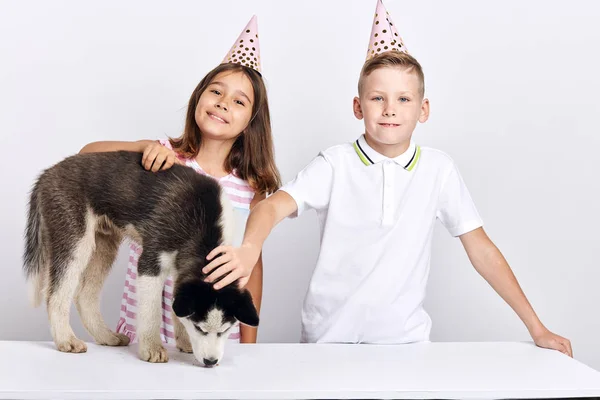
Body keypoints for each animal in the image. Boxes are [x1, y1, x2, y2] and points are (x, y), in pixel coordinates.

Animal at [24, 150, 258, 366]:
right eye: (200, 328)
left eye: (225, 330)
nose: (211, 362)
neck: (204, 225)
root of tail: (46, 174)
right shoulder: (151, 263)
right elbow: (151, 311)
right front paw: (152, 348)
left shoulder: (181, 270)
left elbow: (177, 305)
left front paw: (184, 341)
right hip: (76, 240)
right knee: (55, 295)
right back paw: (66, 339)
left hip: (104, 245)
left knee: (84, 295)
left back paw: (105, 336)